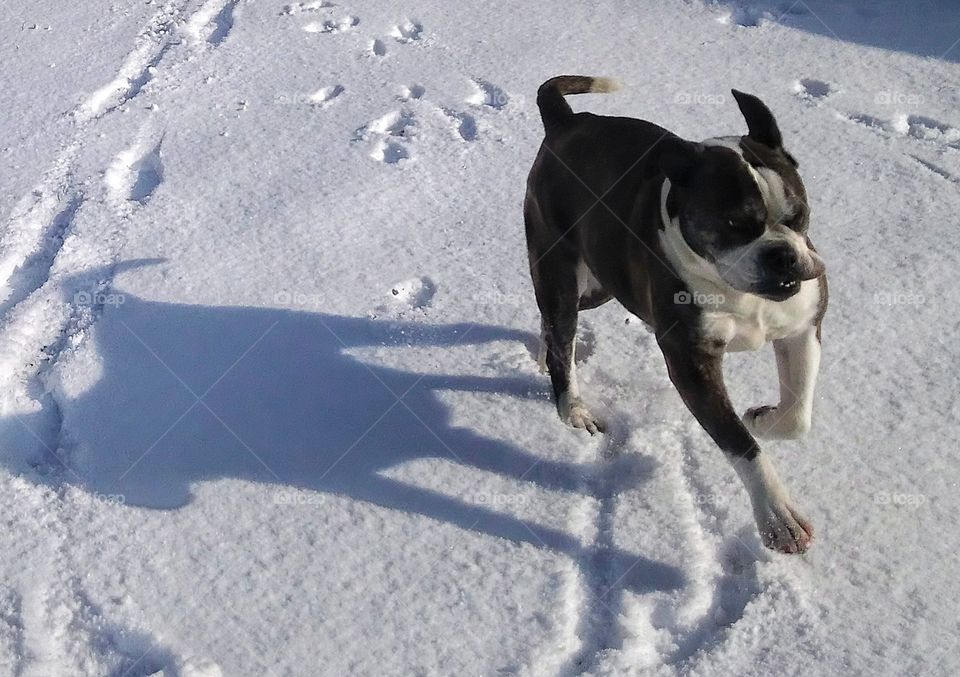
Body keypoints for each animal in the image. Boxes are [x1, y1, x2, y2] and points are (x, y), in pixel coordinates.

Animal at [520, 76, 828, 552]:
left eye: (798, 215)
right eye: (735, 224)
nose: (782, 255)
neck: (735, 290)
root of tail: (564, 123)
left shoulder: (803, 327)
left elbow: (797, 415)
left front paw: (762, 418)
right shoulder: (692, 362)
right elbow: (739, 443)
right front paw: (779, 517)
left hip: (599, 284)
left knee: (556, 328)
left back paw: (543, 354)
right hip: (560, 268)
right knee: (561, 334)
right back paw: (573, 409)